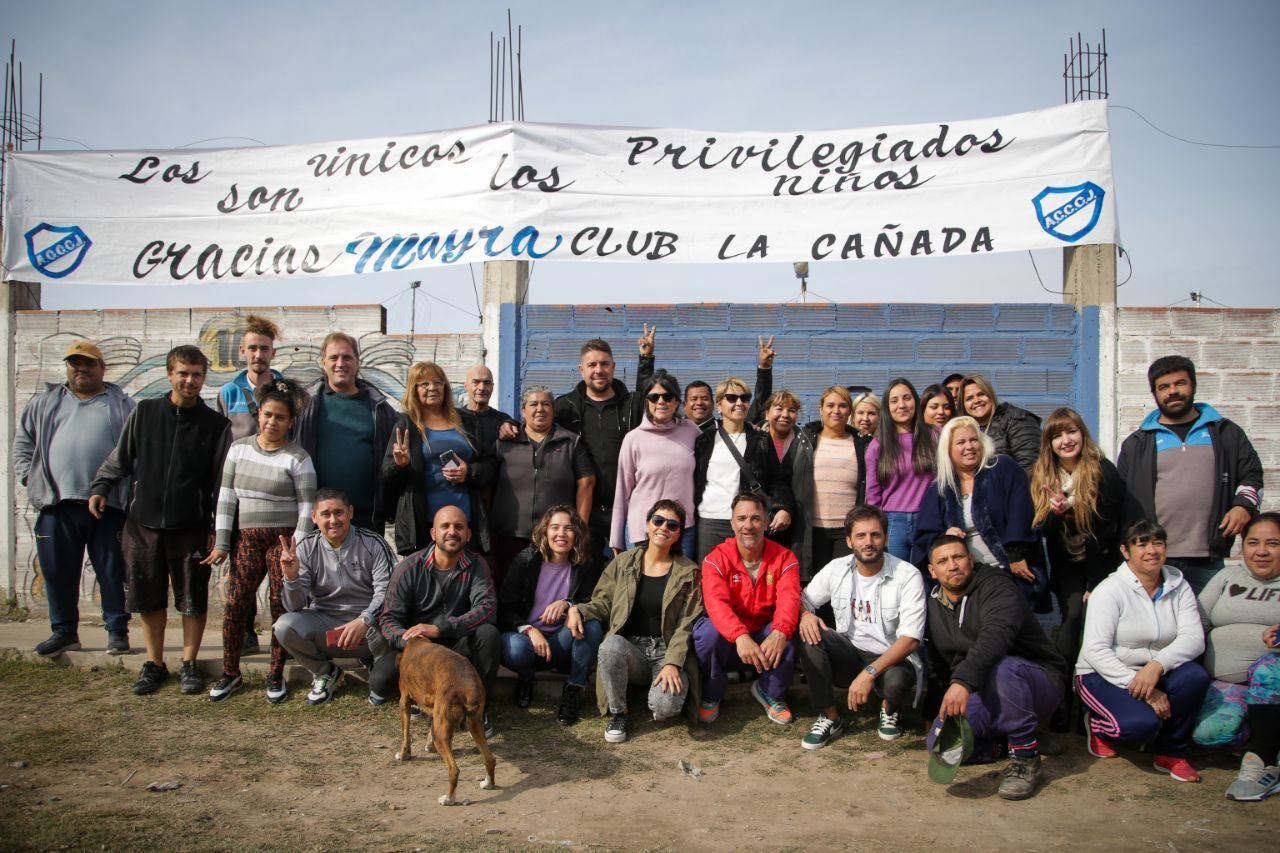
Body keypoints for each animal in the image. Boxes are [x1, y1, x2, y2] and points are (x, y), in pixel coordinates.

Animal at [396, 635, 496, 799]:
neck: (416, 642)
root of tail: (468, 688)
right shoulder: (435, 711)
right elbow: (430, 727)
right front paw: (428, 746)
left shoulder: (404, 701)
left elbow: (405, 735)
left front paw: (404, 754)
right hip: (474, 724)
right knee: (490, 759)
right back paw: (488, 784)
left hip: (442, 737)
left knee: (454, 770)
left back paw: (448, 799)